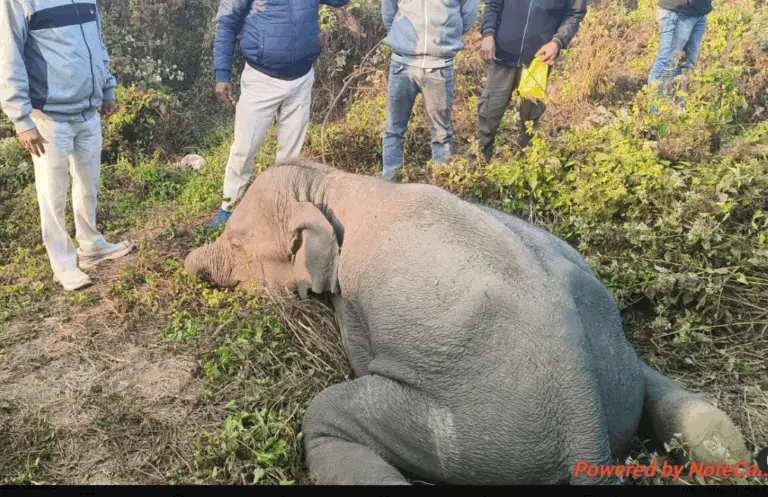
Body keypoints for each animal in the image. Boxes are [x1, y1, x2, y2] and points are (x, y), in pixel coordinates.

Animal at [184, 156, 751, 485]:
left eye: (236, 243)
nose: (187, 263)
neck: (330, 184)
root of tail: (583, 424)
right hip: (615, 371)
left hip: (472, 431)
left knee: (326, 416)